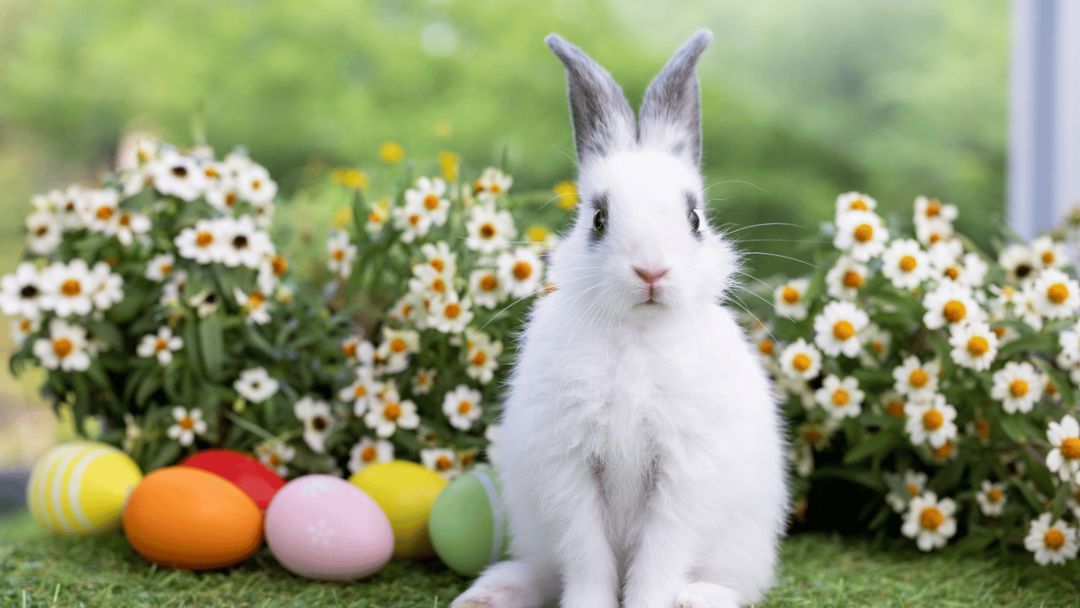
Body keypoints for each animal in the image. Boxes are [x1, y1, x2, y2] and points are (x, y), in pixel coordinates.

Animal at [452, 30, 788, 608]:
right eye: (598, 218)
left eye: (694, 218)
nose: (651, 270)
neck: (637, 331)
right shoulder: (570, 471)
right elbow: (587, 557)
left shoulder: (682, 473)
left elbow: (659, 557)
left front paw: (651, 602)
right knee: (542, 572)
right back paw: (487, 595)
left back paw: (697, 598)